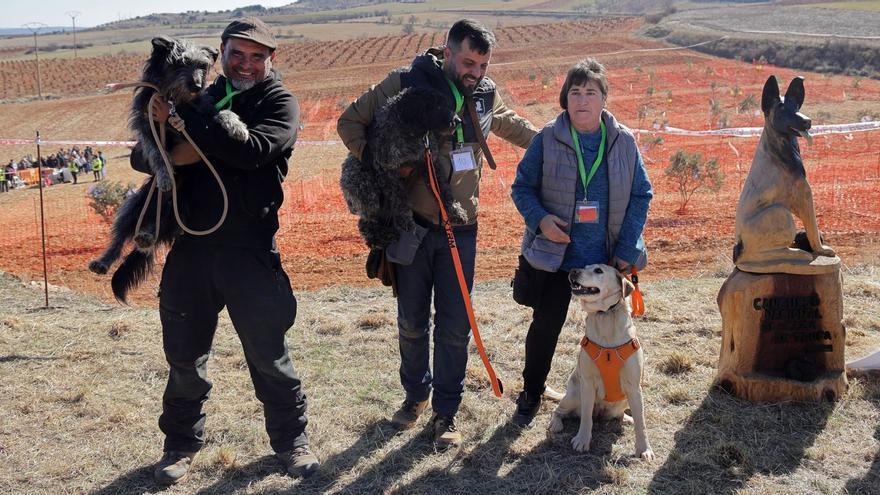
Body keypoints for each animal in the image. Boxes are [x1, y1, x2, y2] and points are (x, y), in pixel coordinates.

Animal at [87, 35, 248, 302]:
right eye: (180, 63)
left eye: (202, 65)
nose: (196, 85)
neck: (175, 101)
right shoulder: (146, 124)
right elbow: (155, 152)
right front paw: (163, 175)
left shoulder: (202, 111)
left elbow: (221, 112)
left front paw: (237, 126)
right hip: (135, 206)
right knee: (120, 238)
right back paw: (105, 259)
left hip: (178, 212)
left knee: (154, 235)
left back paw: (146, 237)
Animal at [340, 87, 468, 250]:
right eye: (437, 106)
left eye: (447, 104)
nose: (457, 120)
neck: (411, 132)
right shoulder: (387, 171)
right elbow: (399, 199)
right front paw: (406, 221)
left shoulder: (430, 162)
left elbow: (444, 190)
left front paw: (455, 211)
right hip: (366, 190)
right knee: (365, 223)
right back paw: (381, 238)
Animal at [552, 264, 652, 462]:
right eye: (584, 266)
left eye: (598, 270)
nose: (573, 271)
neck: (605, 315)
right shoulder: (588, 383)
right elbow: (586, 418)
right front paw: (582, 440)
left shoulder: (634, 387)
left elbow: (641, 422)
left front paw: (644, 448)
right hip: (574, 395)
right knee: (559, 411)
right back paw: (556, 424)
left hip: (623, 401)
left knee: (620, 415)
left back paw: (626, 418)